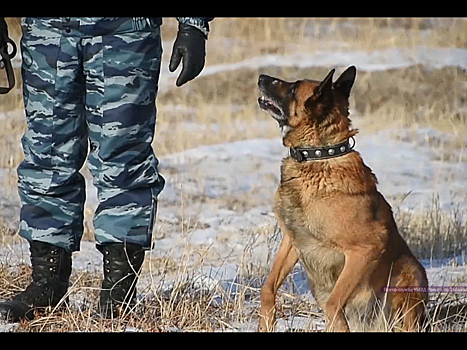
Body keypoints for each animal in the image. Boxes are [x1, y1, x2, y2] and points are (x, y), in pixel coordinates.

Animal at [258, 67, 430, 332]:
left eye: (293, 87)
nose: (260, 77)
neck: (317, 157)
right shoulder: (292, 240)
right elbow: (268, 287)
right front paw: (267, 320)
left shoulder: (365, 249)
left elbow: (334, 304)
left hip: (411, 274)